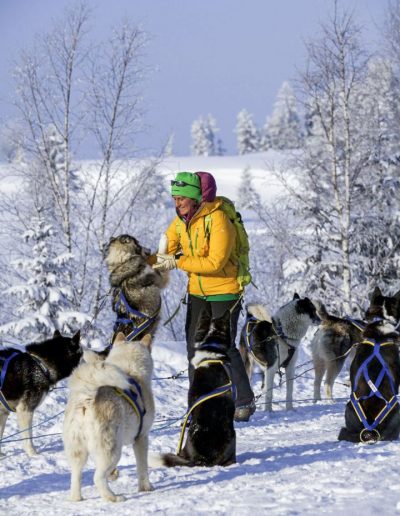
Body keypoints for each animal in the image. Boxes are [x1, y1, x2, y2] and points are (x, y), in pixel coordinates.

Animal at [63, 332, 155, 502]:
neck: (131, 370)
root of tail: (86, 399)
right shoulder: (141, 438)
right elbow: (142, 467)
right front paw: (146, 487)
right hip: (112, 452)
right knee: (97, 478)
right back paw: (113, 497)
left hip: (78, 452)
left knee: (76, 477)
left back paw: (77, 498)